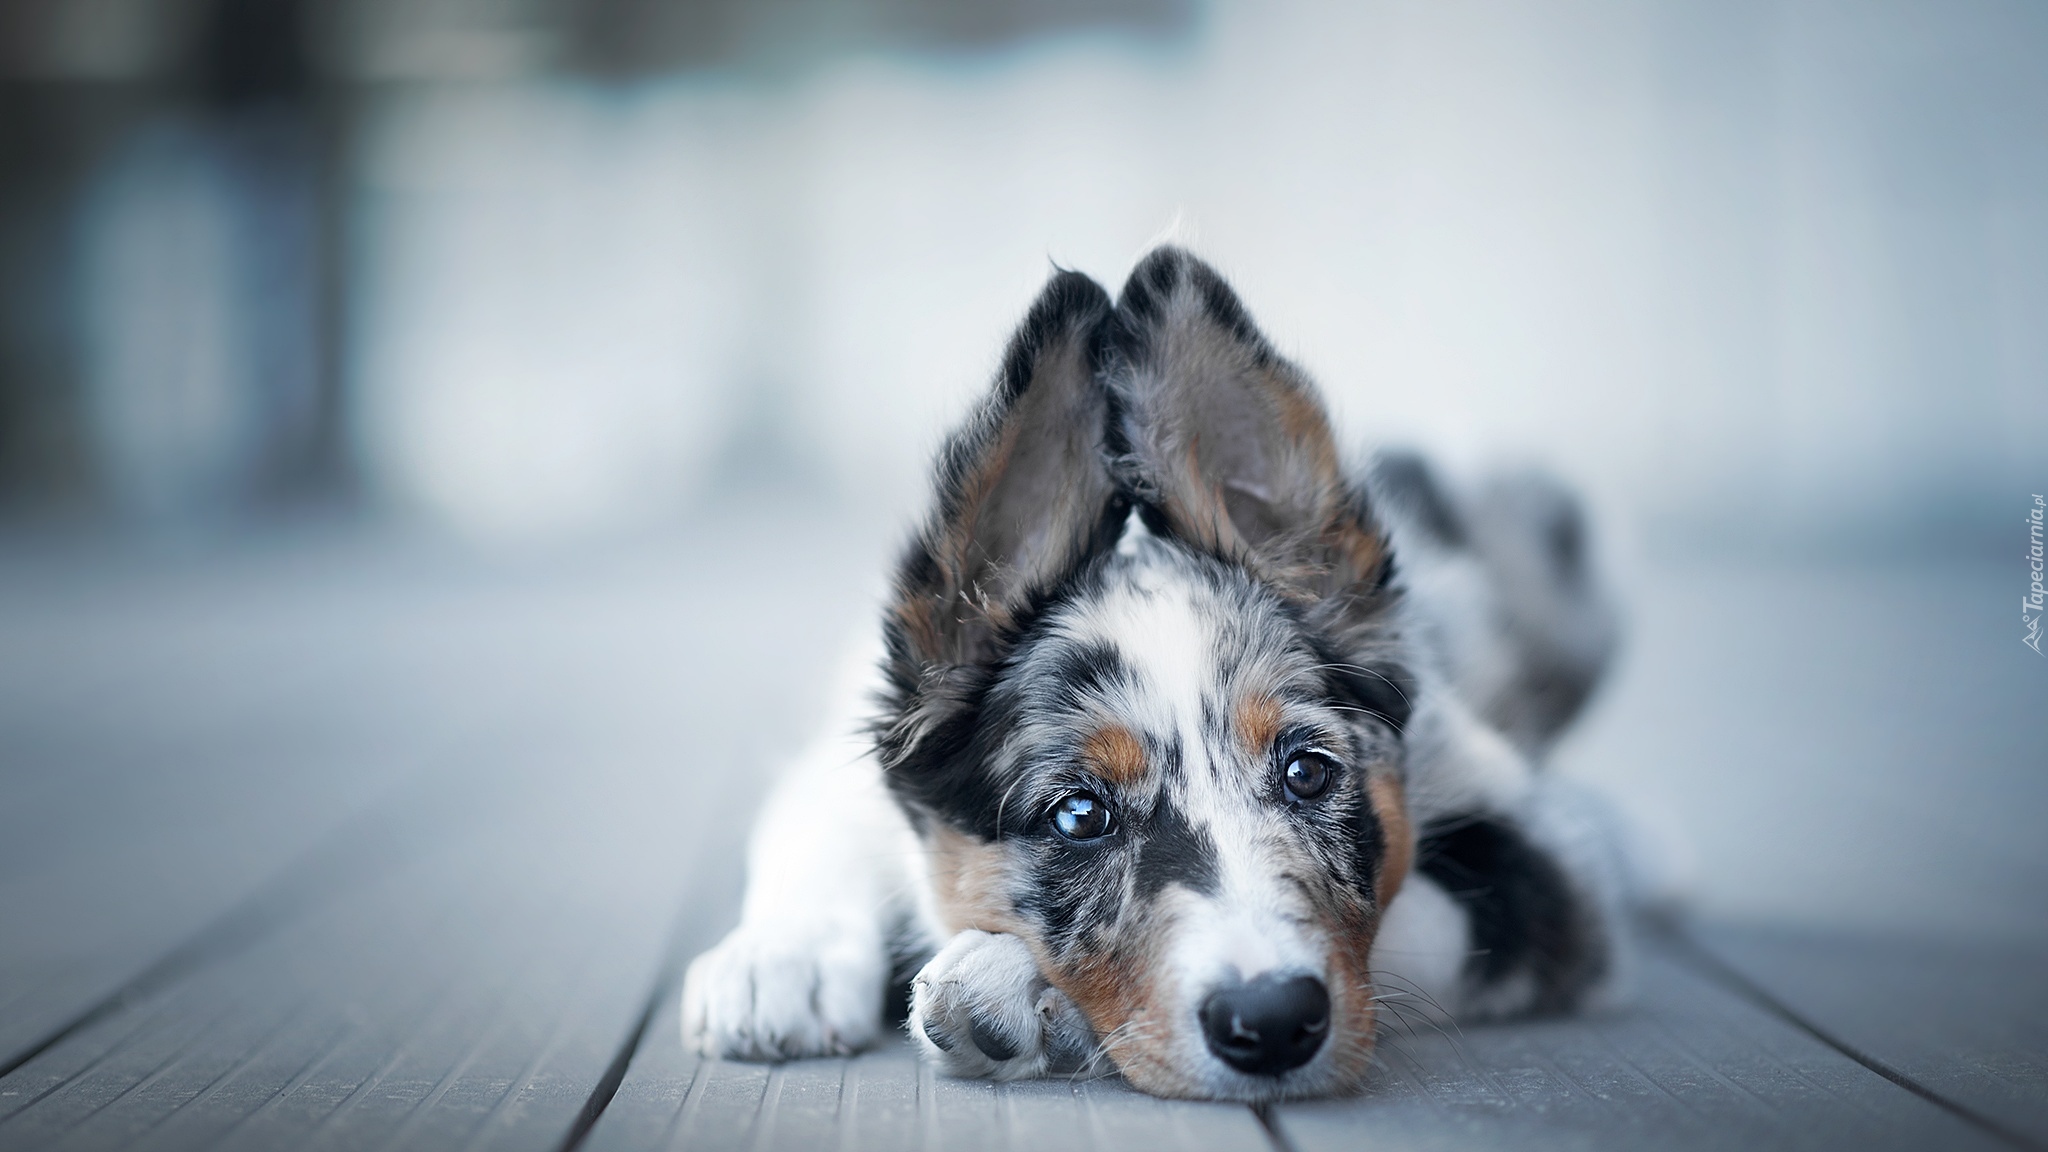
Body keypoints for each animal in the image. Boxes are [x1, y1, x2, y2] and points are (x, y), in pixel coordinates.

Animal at [688, 243, 1630, 1090]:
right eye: (1077, 816)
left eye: (1310, 772)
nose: (1273, 1022)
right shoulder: (843, 760)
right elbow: (813, 830)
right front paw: (777, 963)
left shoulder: (1547, 875)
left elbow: (1391, 927)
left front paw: (1016, 985)